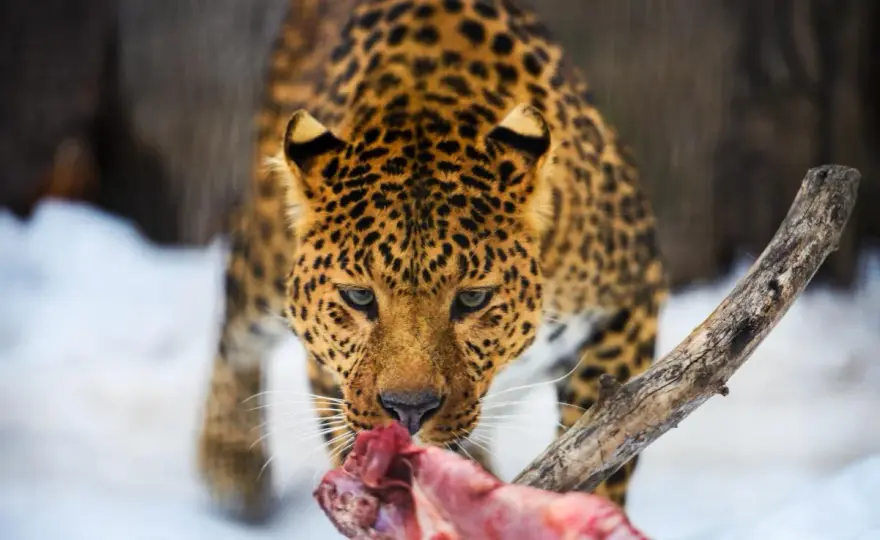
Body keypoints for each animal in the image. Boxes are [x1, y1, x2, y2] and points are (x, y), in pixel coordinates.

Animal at [196, 0, 667, 524]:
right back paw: (229, 465)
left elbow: (603, 440)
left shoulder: (631, 297)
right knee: (236, 321)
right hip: (263, 252)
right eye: (358, 296)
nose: (409, 410)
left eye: (473, 299)